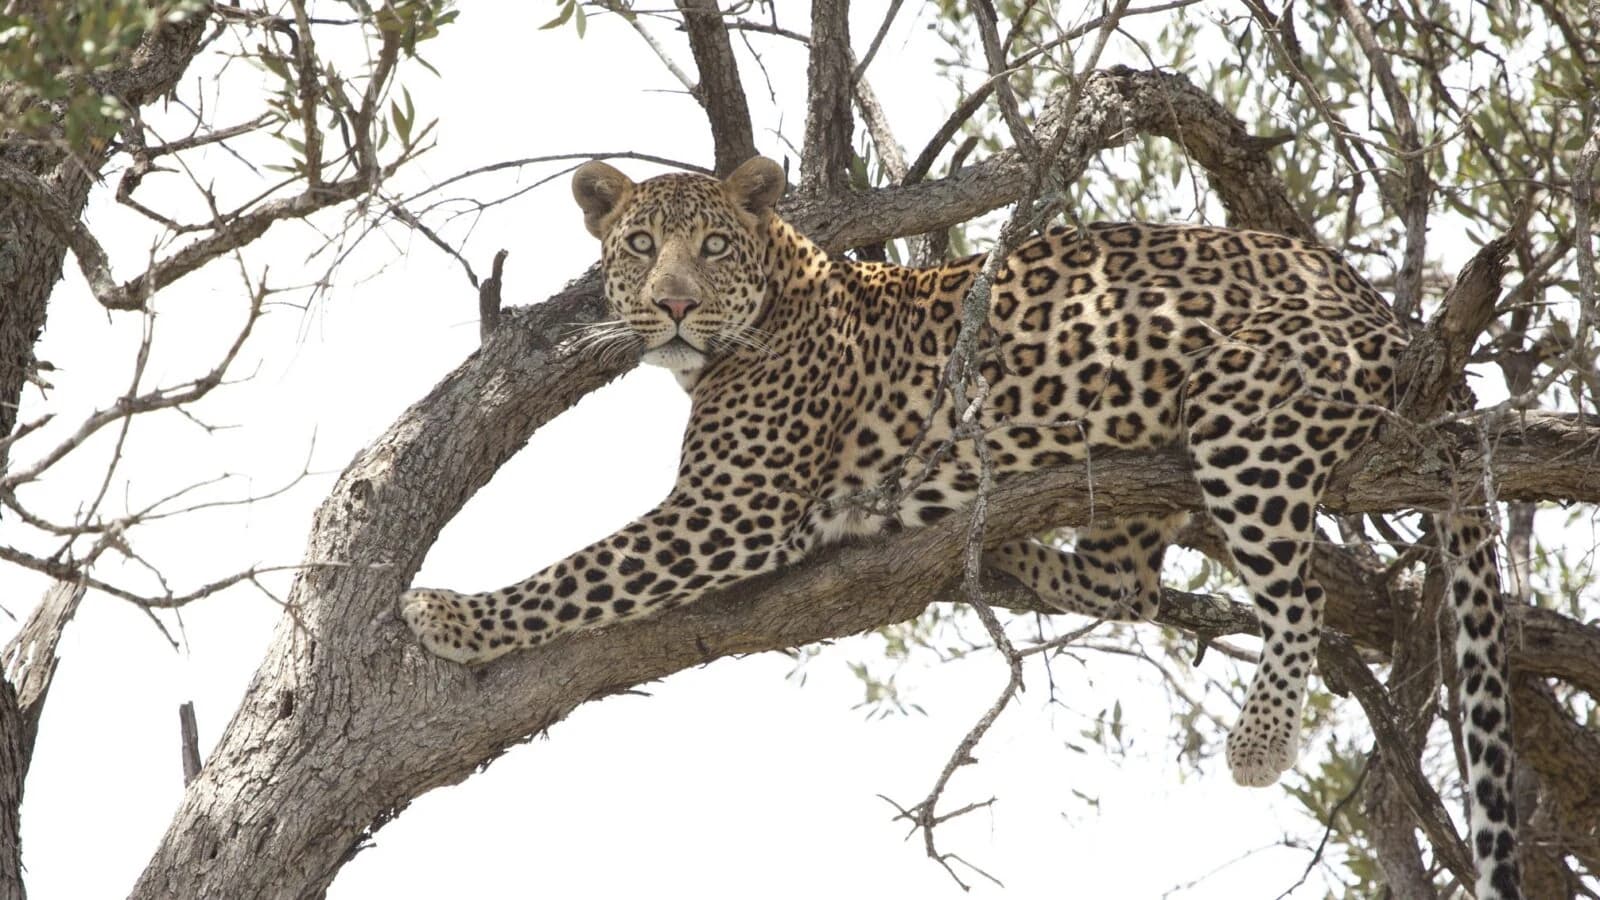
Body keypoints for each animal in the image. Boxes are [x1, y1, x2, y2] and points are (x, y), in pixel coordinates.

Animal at [401, 156, 1520, 898]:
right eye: (638, 246)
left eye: (713, 246)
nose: (672, 305)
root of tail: (1389, 311)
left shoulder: (734, 509)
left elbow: (581, 570)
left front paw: (451, 616)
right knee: (1128, 582)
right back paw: (1004, 537)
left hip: (1246, 412)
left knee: (1294, 591)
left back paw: (1256, 739)